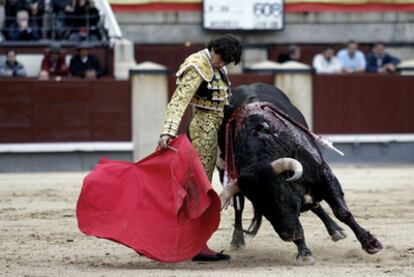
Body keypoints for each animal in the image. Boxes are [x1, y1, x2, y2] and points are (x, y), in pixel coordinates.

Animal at [218, 82, 384, 264]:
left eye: (281, 194)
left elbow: (342, 212)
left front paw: (370, 243)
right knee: (239, 208)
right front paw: (304, 252)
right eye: (261, 206)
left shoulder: (324, 174)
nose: (289, 235)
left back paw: (336, 230)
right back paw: (237, 240)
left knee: (316, 205)